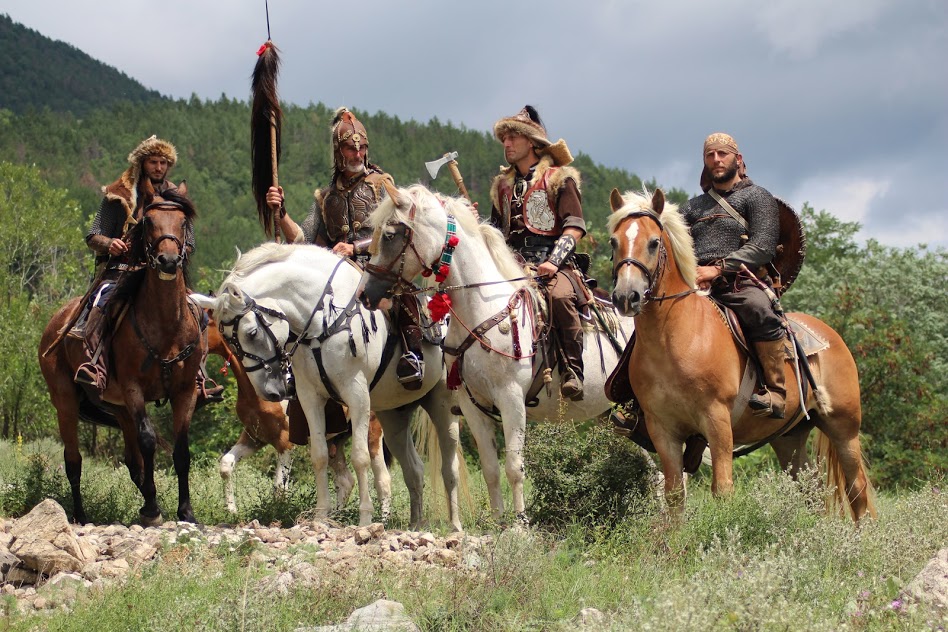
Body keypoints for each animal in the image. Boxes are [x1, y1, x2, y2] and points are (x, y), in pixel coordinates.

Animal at [39, 185, 206, 524]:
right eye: (148, 222)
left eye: (183, 222)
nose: (168, 260)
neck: (166, 326)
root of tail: (54, 323)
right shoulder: (133, 389)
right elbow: (148, 440)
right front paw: (153, 510)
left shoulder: (185, 391)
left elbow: (181, 450)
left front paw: (185, 510)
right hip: (66, 401)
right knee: (73, 460)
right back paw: (81, 515)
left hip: (117, 407)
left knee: (132, 461)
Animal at [190, 244, 462, 532]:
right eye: (227, 338)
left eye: (251, 332)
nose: (272, 392)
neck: (323, 321)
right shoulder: (307, 401)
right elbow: (316, 456)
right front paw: (321, 516)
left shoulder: (355, 397)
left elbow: (358, 459)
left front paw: (364, 518)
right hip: (394, 416)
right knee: (413, 470)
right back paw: (414, 524)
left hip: (437, 409)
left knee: (439, 469)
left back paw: (451, 524)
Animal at [362, 185, 636, 520]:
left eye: (390, 234)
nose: (366, 293)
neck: (481, 307)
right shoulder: (472, 405)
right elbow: (491, 469)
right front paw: (499, 523)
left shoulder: (511, 399)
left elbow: (514, 468)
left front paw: (519, 524)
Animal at [608, 189, 872, 524]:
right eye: (613, 242)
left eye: (654, 242)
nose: (626, 296)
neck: (674, 336)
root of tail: (832, 337)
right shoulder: (662, 428)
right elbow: (674, 495)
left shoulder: (717, 419)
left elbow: (722, 489)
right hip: (789, 437)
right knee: (809, 492)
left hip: (844, 427)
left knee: (857, 489)